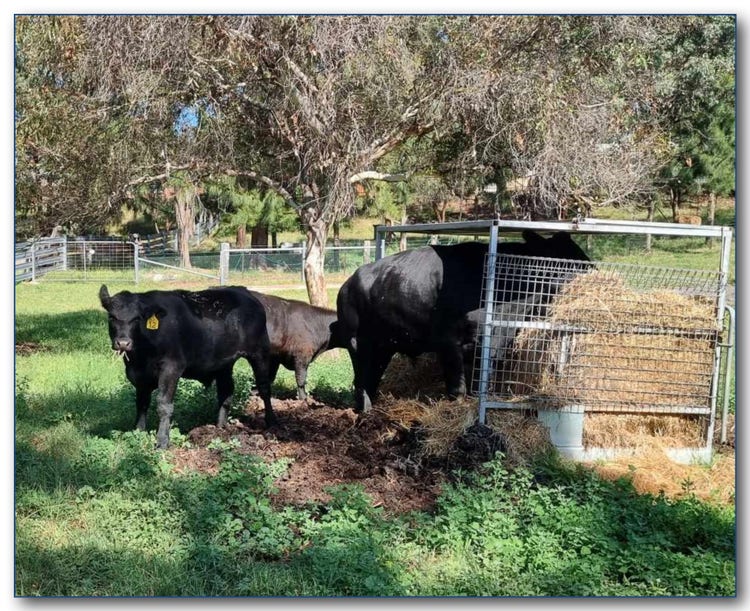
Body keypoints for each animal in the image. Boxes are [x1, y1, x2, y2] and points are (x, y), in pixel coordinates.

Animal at [99, 284, 276, 449]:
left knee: (264, 388)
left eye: (137, 318)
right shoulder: (138, 375)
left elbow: (164, 405)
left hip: (260, 352)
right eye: (111, 317)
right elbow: (141, 404)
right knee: (226, 392)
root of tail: (244, 291)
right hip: (224, 363)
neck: (142, 355)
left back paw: (271, 421)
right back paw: (220, 427)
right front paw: (138, 432)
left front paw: (162, 442)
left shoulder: (171, 368)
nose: (123, 343)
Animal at [336, 230, 590, 413]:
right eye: (567, 256)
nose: (593, 269)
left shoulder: (492, 346)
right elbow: (457, 389)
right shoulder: (449, 343)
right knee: (361, 380)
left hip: (384, 346)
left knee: (371, 379)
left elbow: (480, 386)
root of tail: (348, 283)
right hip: (359, 344)